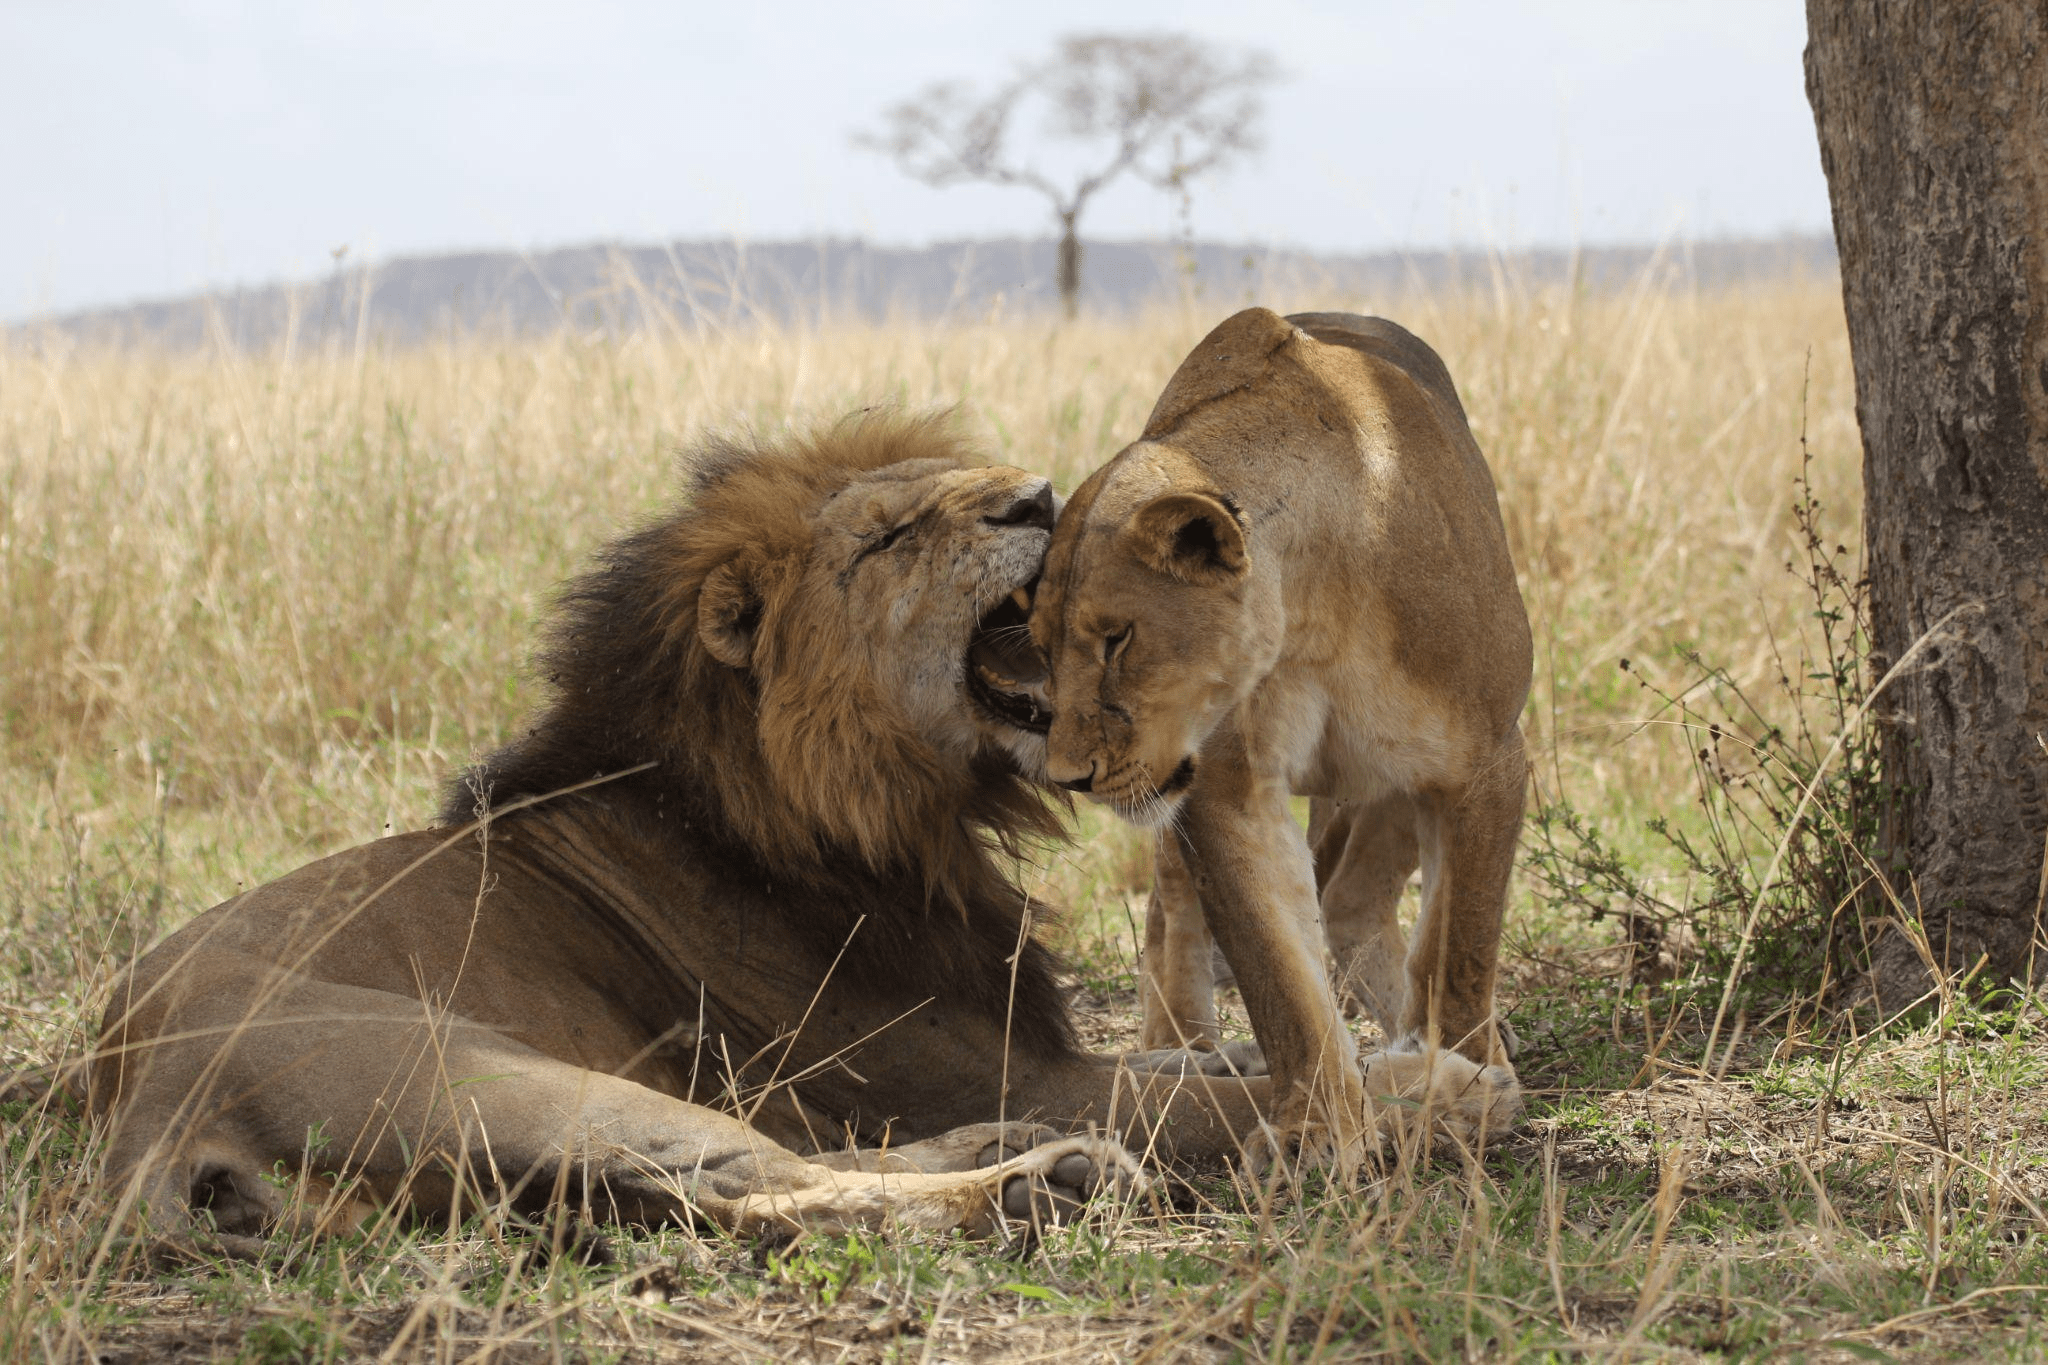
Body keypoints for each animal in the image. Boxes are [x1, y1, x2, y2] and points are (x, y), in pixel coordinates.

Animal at [92, 413, 1294, 1252]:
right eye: (889, 537)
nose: (1040, 497)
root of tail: (140, 1104)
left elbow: (1183, 1065)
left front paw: (1228, 1050)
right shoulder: (992, 1073)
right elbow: (1215, 1102)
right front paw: (1312, 1107)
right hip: (500, 1075)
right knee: (766, 1185)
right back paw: (1042, 1184)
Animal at [1032, 313, 1531, 1178]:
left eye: (1118, 637)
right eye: (1038, 646)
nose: (1069, 776)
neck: (1312, 608)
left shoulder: (1485, 761)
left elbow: (1461, 944)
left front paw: (1464, 1066)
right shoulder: (1221, 791)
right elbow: (1277, 971)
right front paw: (1319, 1131)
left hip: (1386, 781)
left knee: (1357, 897)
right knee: (1177, 909)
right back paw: (1183, 1046)